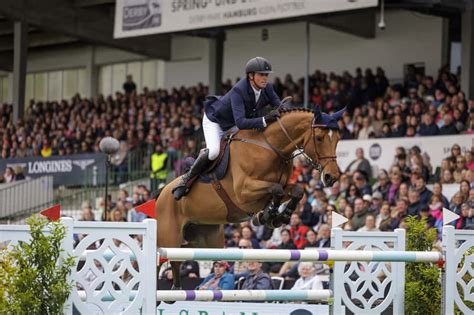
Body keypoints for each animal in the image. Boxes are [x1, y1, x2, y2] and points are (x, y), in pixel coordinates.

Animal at [156, 106, 344, 292]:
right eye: (319, 138)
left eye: (338, 139)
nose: (331, 177)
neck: (270, 147)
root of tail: (161, 196)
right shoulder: (244, 192)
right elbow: (275, 190)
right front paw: (268, 215)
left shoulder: (279, 188)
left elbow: (296, 190)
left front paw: (277, 216)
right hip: (169, 238)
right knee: (165, 259)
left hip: (203, 238)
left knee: (179, 258)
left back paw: (176, 289)